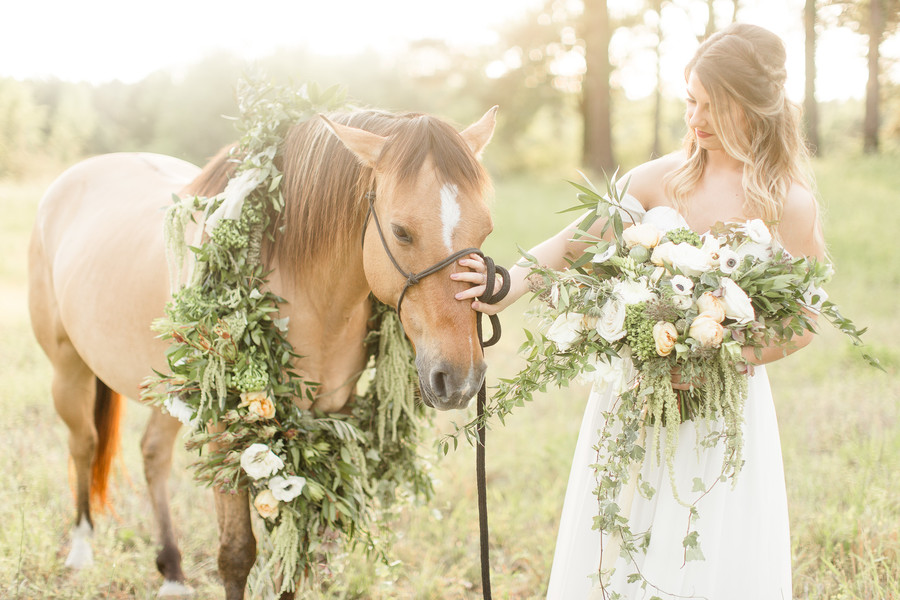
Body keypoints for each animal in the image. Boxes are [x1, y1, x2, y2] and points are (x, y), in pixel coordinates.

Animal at [28, 105, 502, 596]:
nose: (462, 379)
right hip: (69, 371)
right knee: (84, 444)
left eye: (485, 230)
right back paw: (81, 547)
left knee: (152, 454)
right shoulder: (223, 428)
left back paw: (173, 569)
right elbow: (237, 555)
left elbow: (294, 561)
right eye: (401, 232)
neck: (305, 293)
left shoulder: (323, 424)